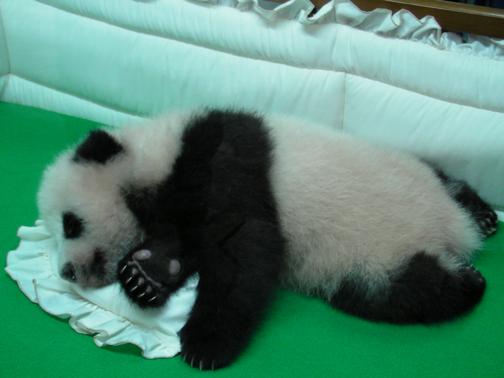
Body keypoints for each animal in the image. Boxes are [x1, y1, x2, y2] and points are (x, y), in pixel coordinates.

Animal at [37, 108, 498, 370]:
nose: (68, 271)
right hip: (367, 263)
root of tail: (453, 230)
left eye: (70, 224)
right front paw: (145, 277)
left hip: (372, 251)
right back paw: (483, 221)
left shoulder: (222, 160)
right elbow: (183, 247)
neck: (157, 152)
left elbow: (245, 249)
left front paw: (206, 344)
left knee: (417, 292)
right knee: (401, 288)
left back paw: (471, 278)